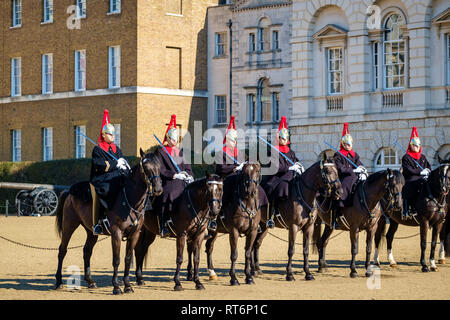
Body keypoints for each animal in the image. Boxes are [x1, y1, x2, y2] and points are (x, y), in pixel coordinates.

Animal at [54, 149, 163, 296]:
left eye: (159, 166)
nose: (158, 189)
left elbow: (127, 258)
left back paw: (90, 281)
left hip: (91, 231)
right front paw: (116, 287)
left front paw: (127, 285)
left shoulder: (134, 234)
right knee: (62, 250)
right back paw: (59, 281)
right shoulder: (116, 233)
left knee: (87, 250)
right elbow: (116, 260)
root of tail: (69, 191)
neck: (129, 200)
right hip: (69, 225)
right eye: (145, 167)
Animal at [250, 154, 342, 282]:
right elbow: (291, 250)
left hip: (264, 226)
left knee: (256, 243)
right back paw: (253, 270)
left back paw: (257, 269)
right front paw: (289, 274)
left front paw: (308, 273)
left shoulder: (309, 228)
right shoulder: (293, 227)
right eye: (327, 171)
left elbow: (306, 250)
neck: (302, 196)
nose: (339, 192)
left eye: (337, 171)